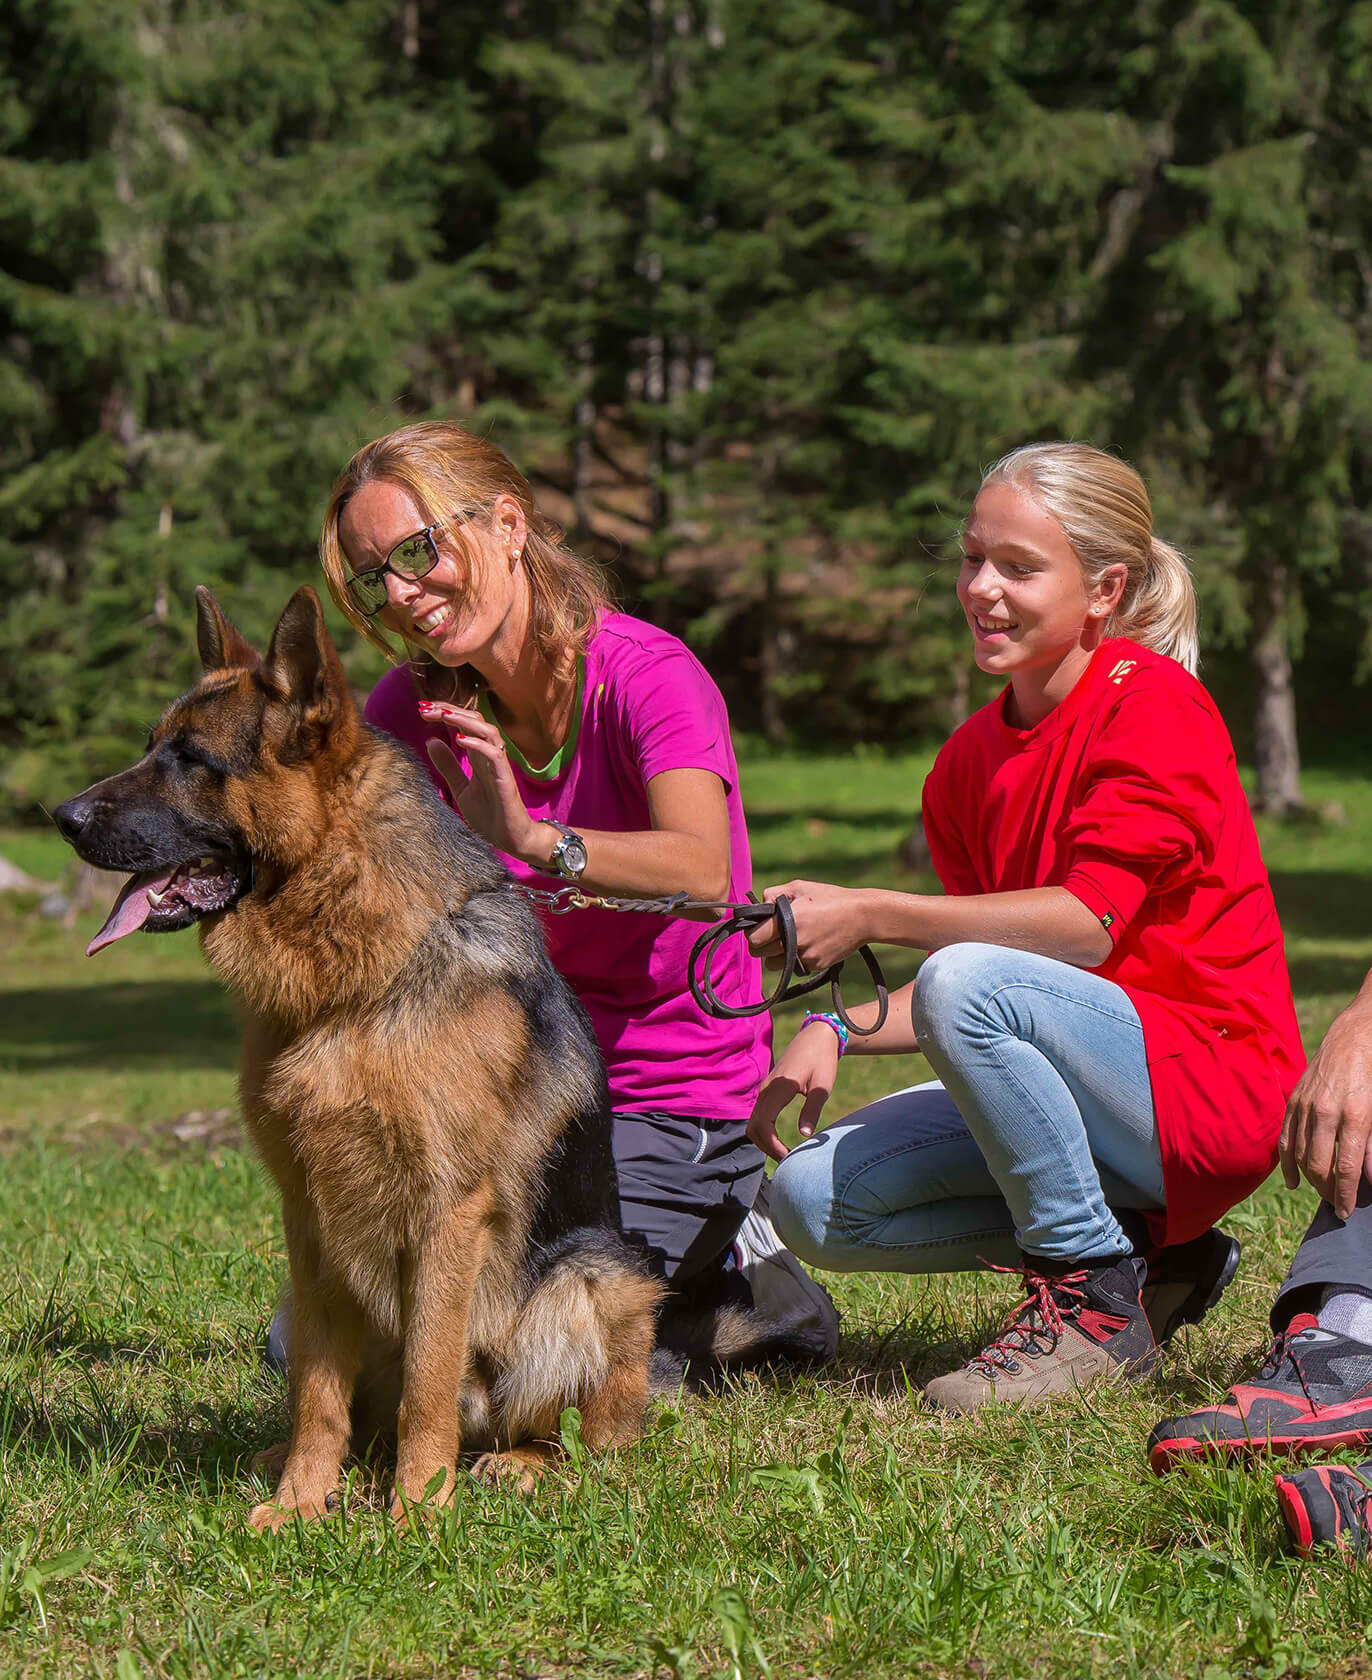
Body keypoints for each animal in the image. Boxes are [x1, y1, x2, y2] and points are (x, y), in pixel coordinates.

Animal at [56, 591, 665, 1538]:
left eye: (191, 760)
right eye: (154, 745)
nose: (61, 819)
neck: (356, 986)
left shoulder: (448, 1214)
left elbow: (429, 1381)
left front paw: (416, 1512)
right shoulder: (307, 1219)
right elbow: (317, 1391)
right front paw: (300, 1501)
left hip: (600, 1278)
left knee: (574, 1438)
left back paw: (513, 1468)